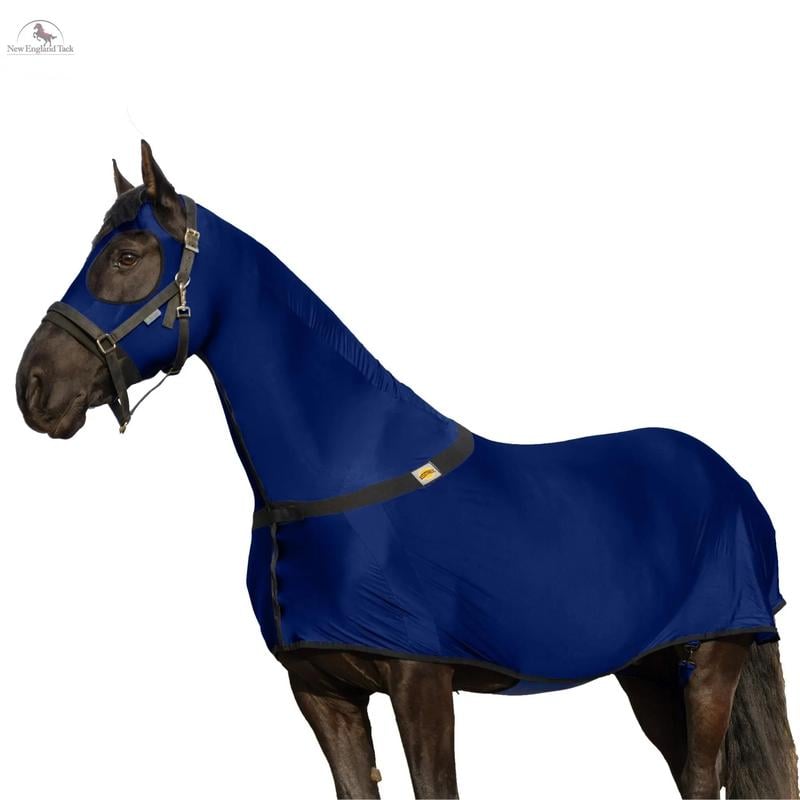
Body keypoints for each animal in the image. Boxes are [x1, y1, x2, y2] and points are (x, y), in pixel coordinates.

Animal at [16, 140, 797, 800]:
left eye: (128, 255)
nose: (34, 387)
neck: (338, 479)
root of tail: (730, 478)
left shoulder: (421, 681)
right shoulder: (321, 692)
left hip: (713, 657)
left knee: (702, 778)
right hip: (649, 670)